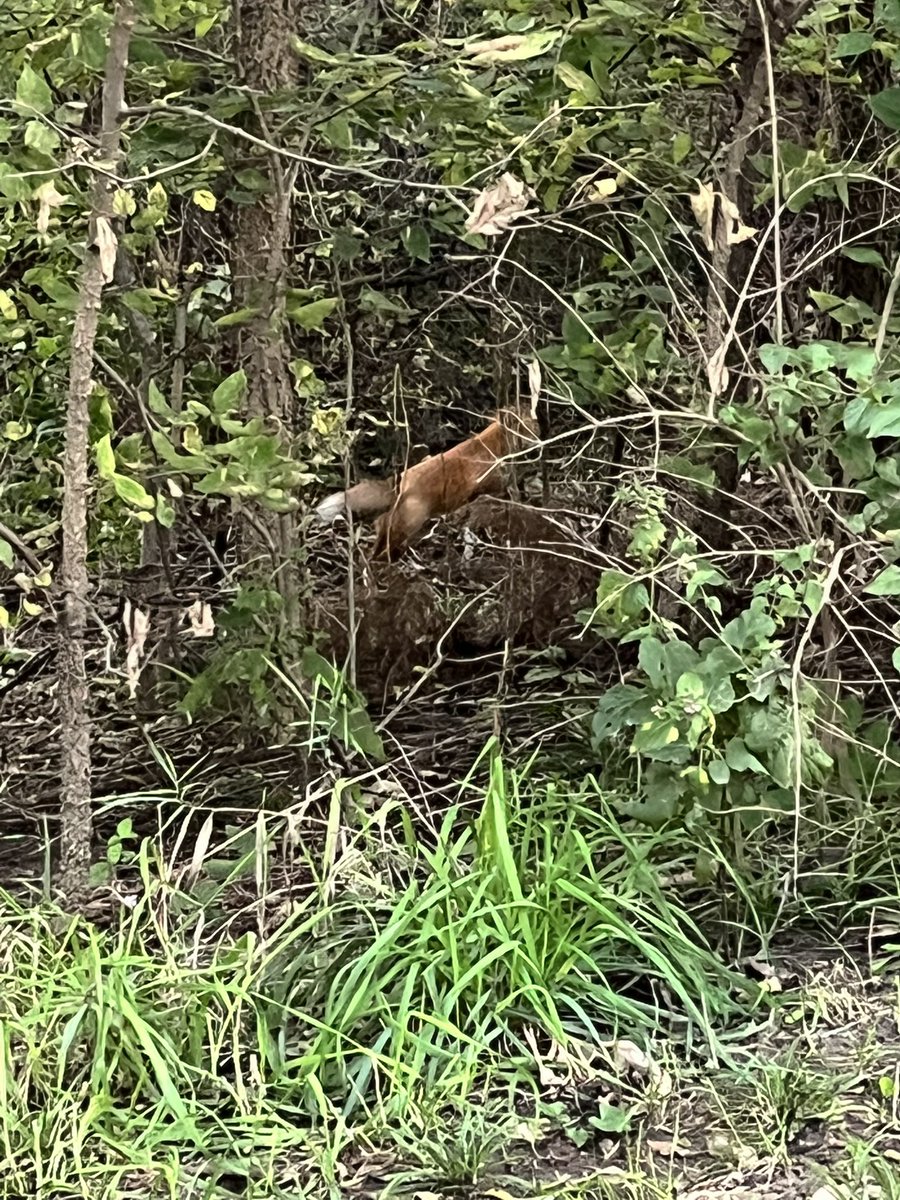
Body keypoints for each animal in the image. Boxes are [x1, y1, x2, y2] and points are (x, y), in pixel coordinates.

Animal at [315, 407, 540, 561]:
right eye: (529, 429)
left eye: (534, 427)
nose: (539, 441)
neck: (497, 445)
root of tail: (401, 479)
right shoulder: (488, 485)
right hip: (411, 522)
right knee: (387, 537)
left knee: (380, 532)